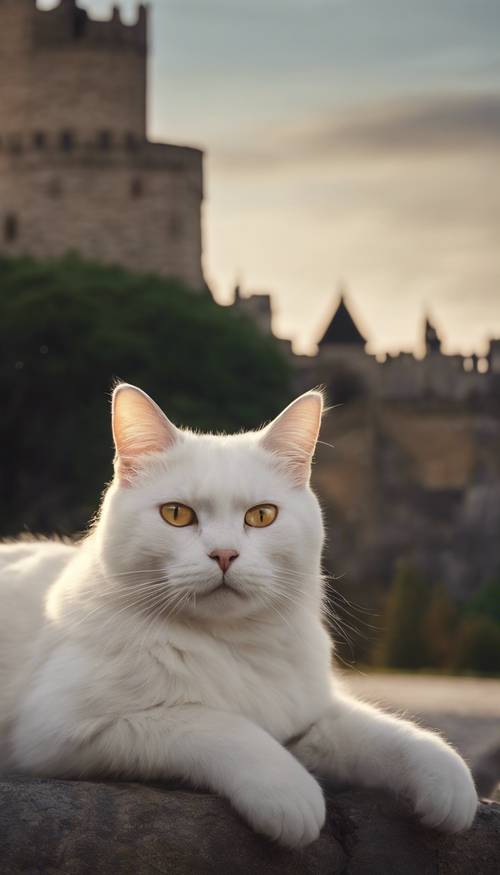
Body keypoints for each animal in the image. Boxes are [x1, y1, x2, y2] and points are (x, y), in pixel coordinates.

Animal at [0, 384, 476, 848]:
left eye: (261, 516)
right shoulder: (66, 730)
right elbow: (217, 723)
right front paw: (290, 795)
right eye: (177, 514)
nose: (224, 554)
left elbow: (383, 733)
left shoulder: (307, 717)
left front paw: (448, 783)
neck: (233, 644)